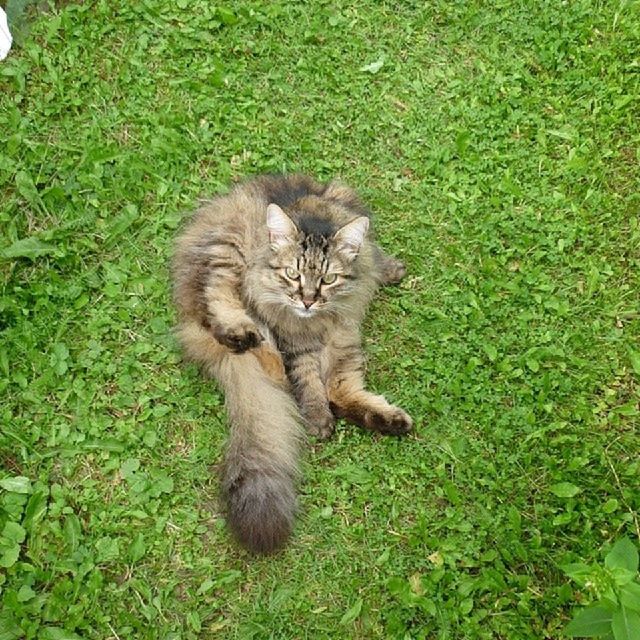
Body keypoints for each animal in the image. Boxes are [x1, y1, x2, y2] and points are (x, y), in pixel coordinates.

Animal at [171, 175, 410, 556]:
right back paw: (248, 337)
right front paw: (316, 417)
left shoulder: (343, 336)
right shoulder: (297, 346)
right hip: (226, 255)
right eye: (292, 275)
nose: (308, 300)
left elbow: (339, 388)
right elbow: (310, 384)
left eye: (328, 280)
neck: (321, 323)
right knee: (220, 305)